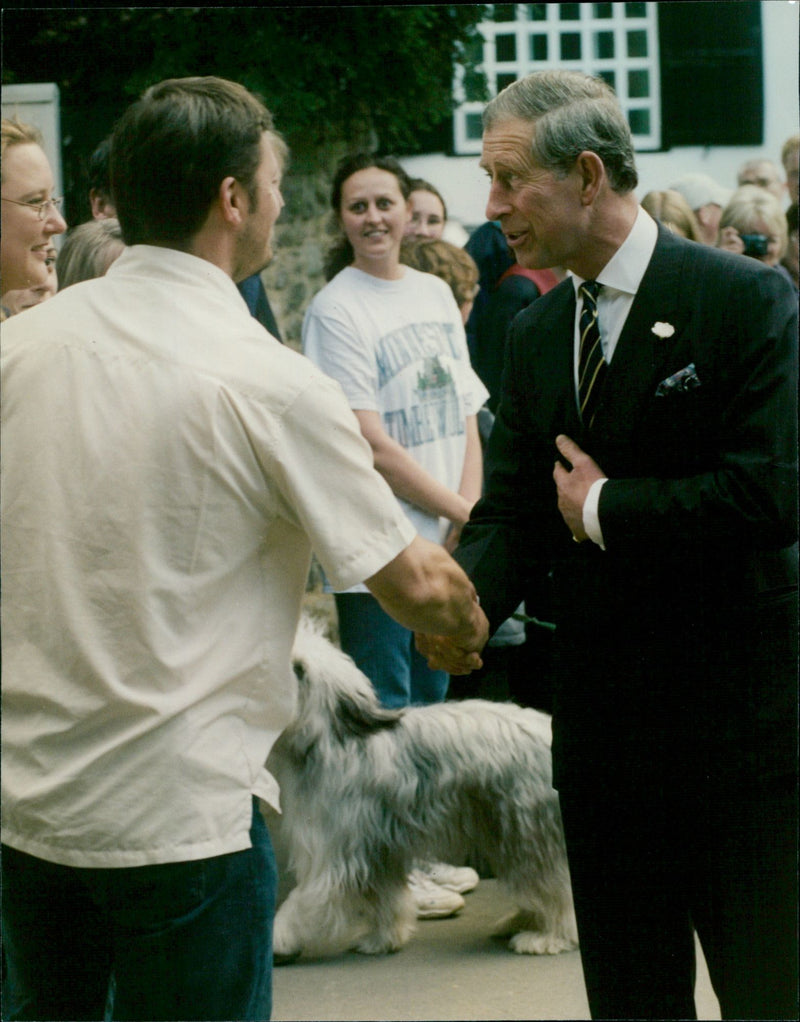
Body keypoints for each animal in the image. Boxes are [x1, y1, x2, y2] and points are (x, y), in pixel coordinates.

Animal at [267, 613, 576, 956]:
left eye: (299, 669)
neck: (333, 740)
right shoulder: (377, 850)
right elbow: (385, 900)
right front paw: (383, 939)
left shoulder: (334, 853)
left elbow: (306, 900)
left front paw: (277, 937)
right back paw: (520, 921)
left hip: (527, 833)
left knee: (555, 890)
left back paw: (547, 937)